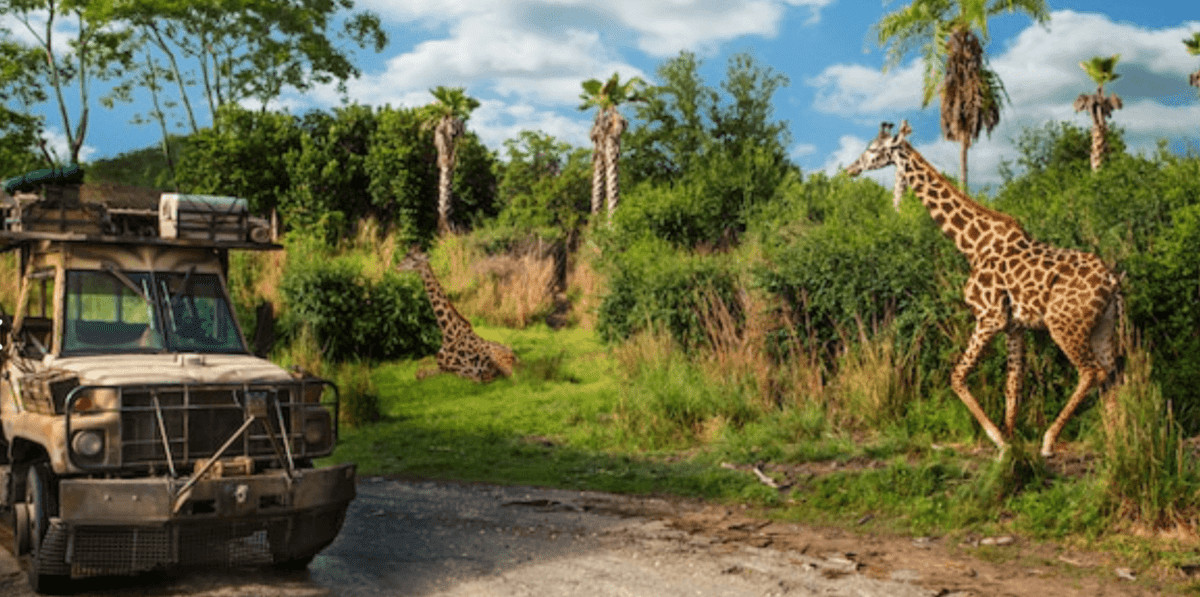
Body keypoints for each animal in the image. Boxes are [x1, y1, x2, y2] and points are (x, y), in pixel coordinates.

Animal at [397, 249, 517, 382]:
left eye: (414, 259)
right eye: (405, 256)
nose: (397, 267)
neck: (448, 333)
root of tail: (514, 356)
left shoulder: (448, 368)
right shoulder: (441, 366)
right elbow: (419, 373)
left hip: (499, 359)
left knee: (509, 376)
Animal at [844, 121, 1124, 457]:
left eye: (874, 149)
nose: (851, 168)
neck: (972, 245)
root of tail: (1112, 281)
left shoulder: (989, 317)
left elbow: (957, 376)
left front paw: (999, 439)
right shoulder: (1015, 326)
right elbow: (1013, 385)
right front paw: (1012, 444)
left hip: (1065, 325)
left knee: (1091, 372)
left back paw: (1050, 441)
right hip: (1103, 326)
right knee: (1111, 375)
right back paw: (1117, 443)